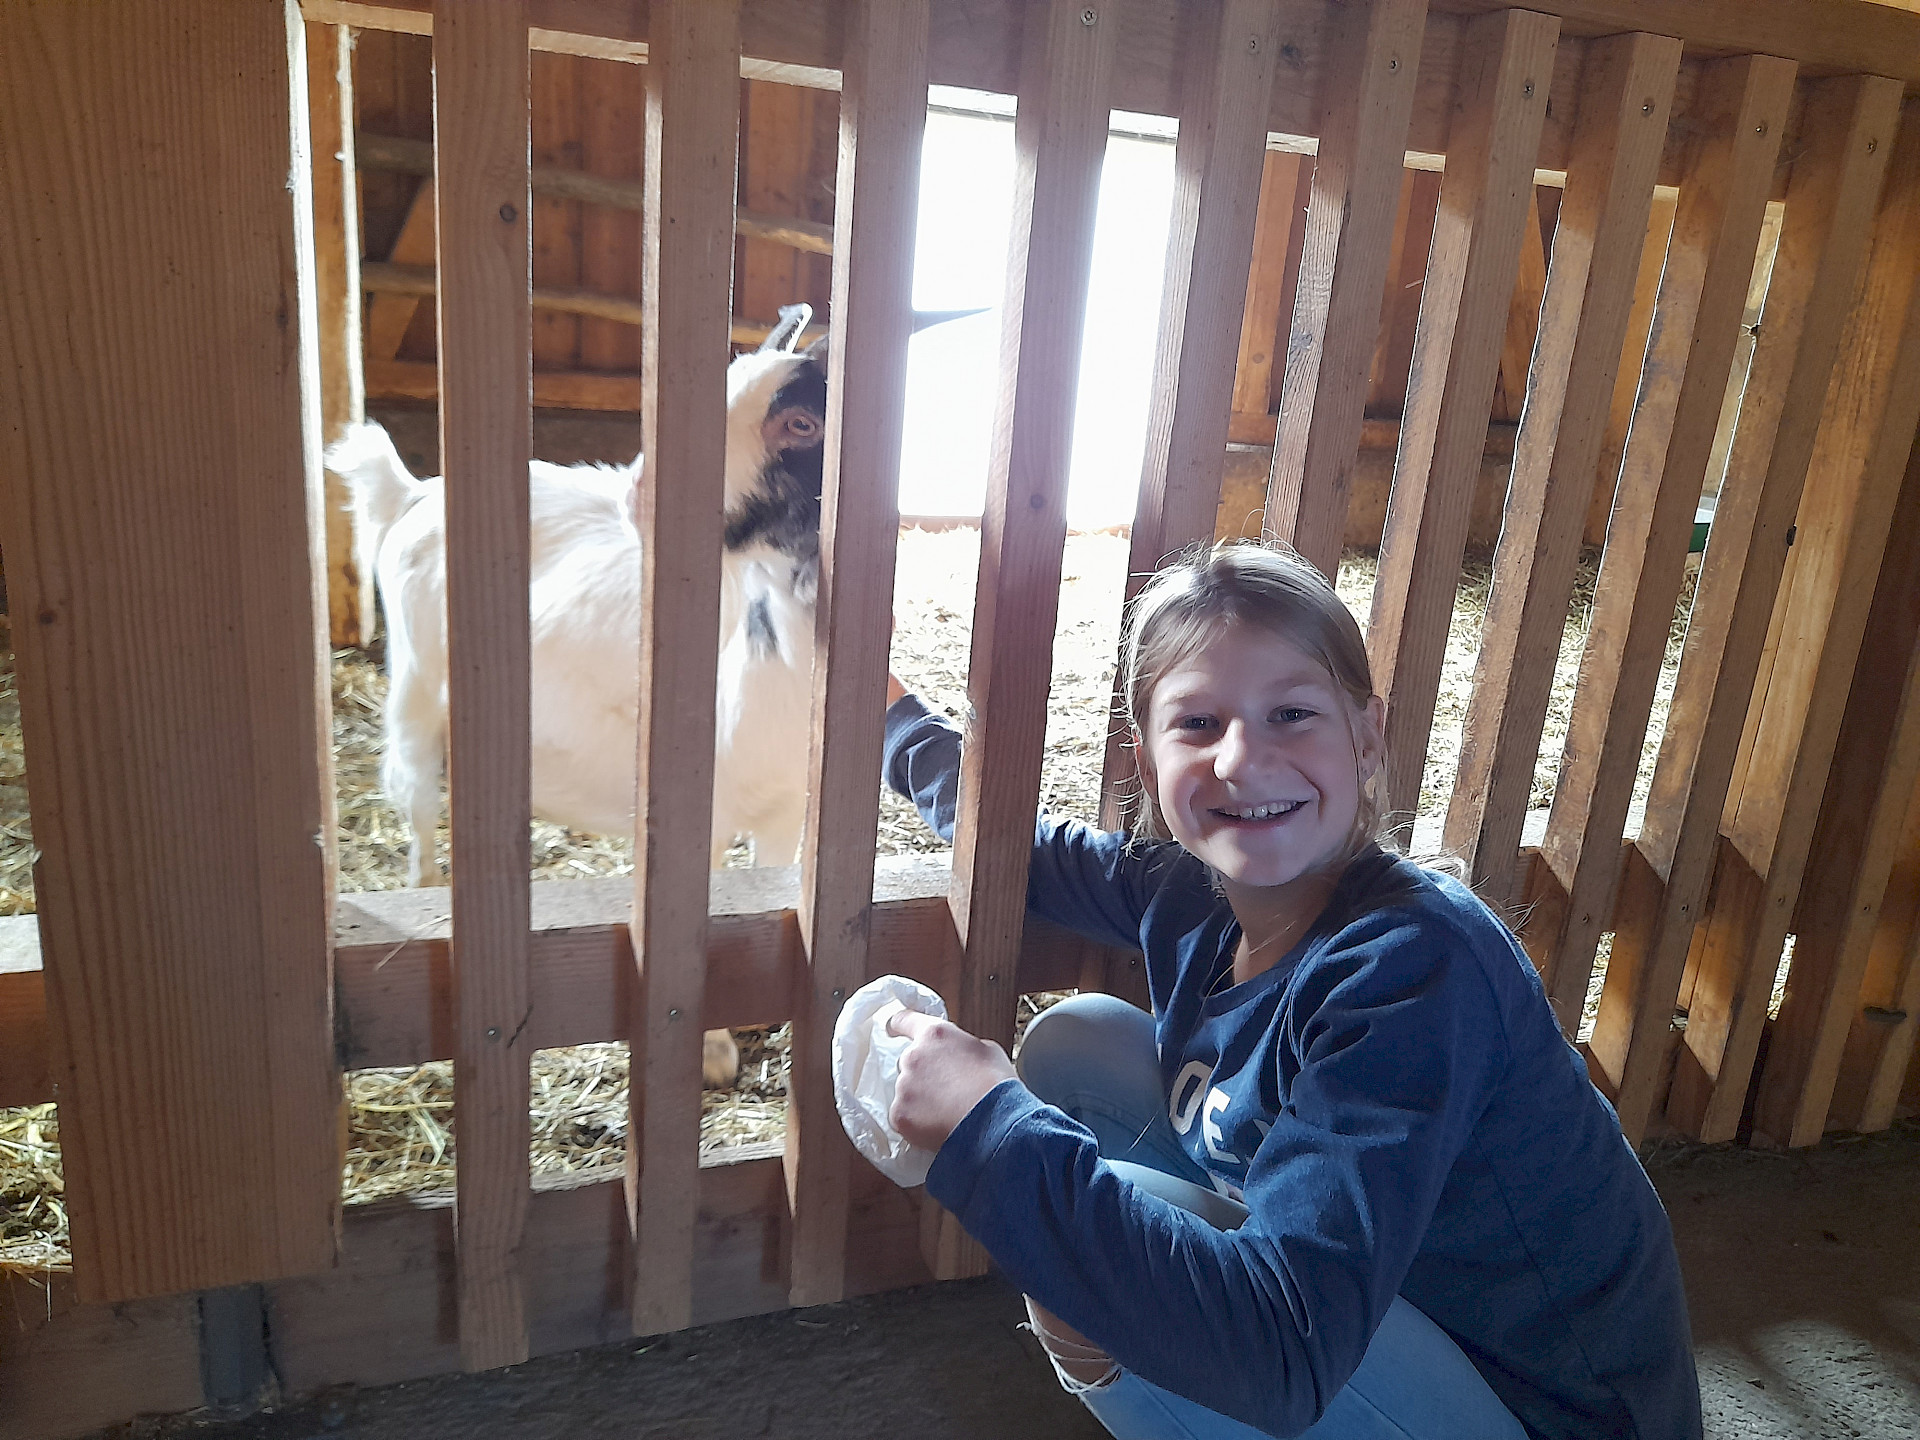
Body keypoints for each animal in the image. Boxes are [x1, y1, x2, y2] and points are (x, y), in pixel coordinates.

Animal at [327, 306, 828, 1087]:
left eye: (802, 424)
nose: (643, 490)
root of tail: (414, 493)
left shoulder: (785, 811)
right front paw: (712, 1053)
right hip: (416, 687)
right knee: (416, 795)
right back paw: (430, 887)